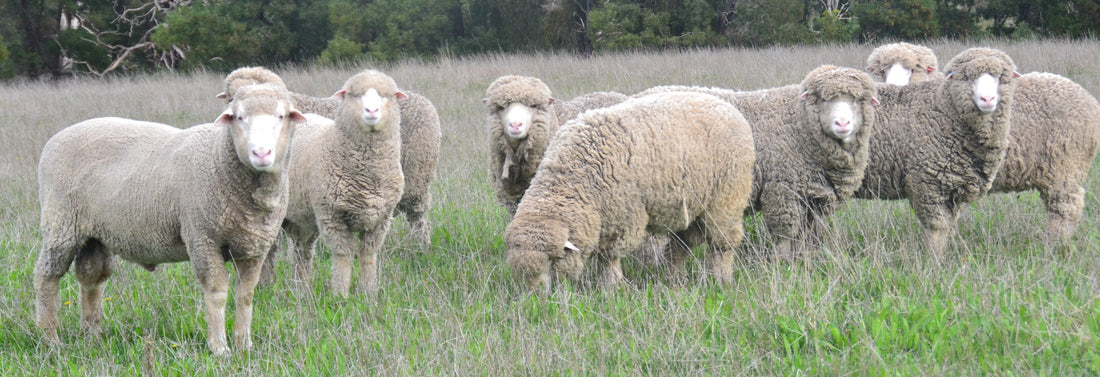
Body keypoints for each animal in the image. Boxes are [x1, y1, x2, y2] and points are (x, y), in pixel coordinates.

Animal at [35, 83, 305, 358]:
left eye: (281, 116)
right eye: (239, 117)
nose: (261, 153)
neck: (218, 156)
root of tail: (56, 138)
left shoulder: (254, 247)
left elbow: (246, 295)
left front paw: (244, 345)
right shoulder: (202, 238)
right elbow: (217, 293)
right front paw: (219, 346)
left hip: (93, 233)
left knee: (91, 277)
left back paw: (92, 336)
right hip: (61, 223)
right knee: (46, 276)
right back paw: (50, 338)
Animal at [277, 69, 407, 296]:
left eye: (386, 96)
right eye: (355, 95)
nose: (371, 110)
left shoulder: (381, 219)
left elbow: (368, 255)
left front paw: (369, 293)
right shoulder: (332, 216)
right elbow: (343, 256)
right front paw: (340, 294)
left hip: (303, 218)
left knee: (301, 252)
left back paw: (301, 290)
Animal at [506, 90, 756, 292]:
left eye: (551, 261)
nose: (536, 297)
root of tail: (727, 106)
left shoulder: (621, 217)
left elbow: (608, 257)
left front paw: (611, 286)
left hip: (726, 199)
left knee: (721, 245)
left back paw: (721, 280)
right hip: (696, 204)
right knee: (683, 243)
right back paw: (669, 276)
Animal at [862, 42, 1095, 244]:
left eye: (912, 69)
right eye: (881, 70)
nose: (892, 85)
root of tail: (1088, 98)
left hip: (1064, 168)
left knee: (1066, 207)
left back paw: (1055, 245)